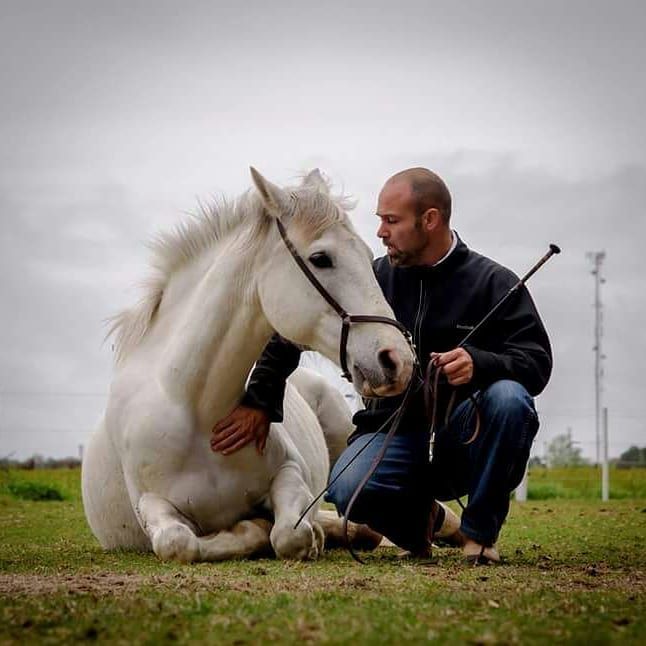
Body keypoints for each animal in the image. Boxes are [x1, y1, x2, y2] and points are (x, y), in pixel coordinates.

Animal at [82, 170, 416, 564]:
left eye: (366, 256)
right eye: (321, 258)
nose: (397, 359)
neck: (197, 409)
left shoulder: (290, 473)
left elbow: (291, 534)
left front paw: (296, 533)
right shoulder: (152, 504)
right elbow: (178, 544)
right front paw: (254, 528)